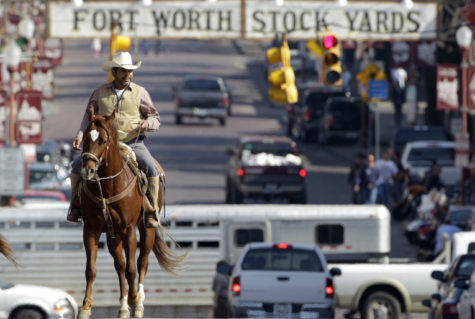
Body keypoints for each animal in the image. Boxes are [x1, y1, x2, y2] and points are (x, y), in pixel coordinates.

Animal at [77, 106, 183, 318]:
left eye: (103, 140)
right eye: (85, 138)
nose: (88, 171)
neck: (107, 187)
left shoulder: (128, 229)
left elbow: (132, 269)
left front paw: (135, 300)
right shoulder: (91, 229)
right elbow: (91, 269)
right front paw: (85, 307)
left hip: (146, 228)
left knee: (142, 262)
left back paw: (138, 302)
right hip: (113, 235)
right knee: (120, 265)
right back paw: (124, 307)